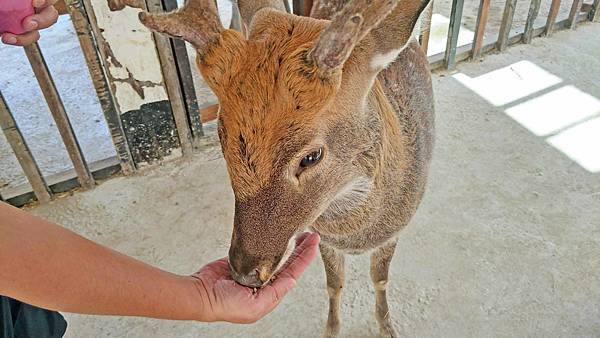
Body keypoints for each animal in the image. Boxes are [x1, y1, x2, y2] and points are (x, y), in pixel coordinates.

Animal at [135, 0, 436, 334]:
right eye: (221, 137)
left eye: (311, 156)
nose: (245, 273)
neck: (357, 237)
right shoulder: (324, 239)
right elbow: (334, 284)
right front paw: (331, 329)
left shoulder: (395, 232)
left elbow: (380, 279)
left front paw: (387, 327)